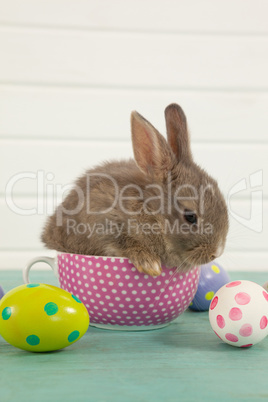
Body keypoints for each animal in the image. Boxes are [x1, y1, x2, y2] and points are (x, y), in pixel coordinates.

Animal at [41, 103, 228, 276]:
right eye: (190, 217)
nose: (216, 253)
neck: (152, 212)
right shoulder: (102, 222)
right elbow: (124, 241)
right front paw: (149, 264)